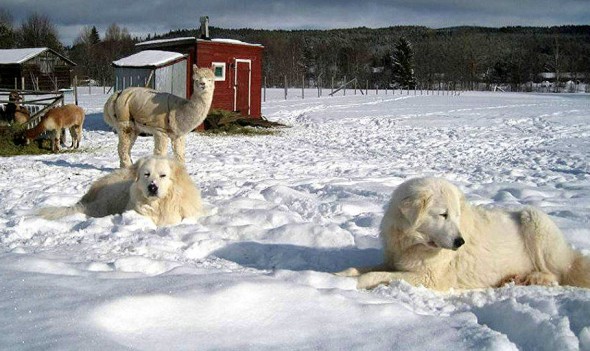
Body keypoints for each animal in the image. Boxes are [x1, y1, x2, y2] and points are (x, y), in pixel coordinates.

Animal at [340, 179, 590, 292]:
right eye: (443, 215)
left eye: (456, 216)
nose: (460, 242)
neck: (414, 243)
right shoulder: (394, 261)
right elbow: (361, 269)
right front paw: (340, 275)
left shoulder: (429, 278)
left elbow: (372, 276)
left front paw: (351, 284)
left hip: (534, 219)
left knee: (557, 274)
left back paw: (532, 278)